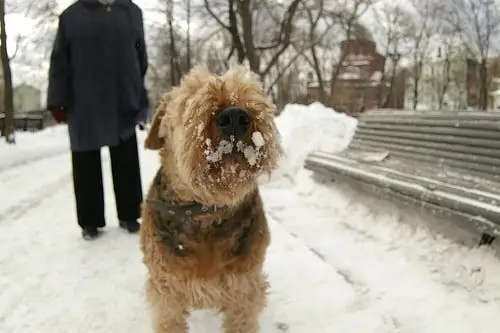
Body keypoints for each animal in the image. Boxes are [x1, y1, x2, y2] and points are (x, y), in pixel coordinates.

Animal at [139, 65, 284, 332]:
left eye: (253, 87)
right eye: (189, 95)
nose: (235, 116)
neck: (205, 212)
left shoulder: (244, 290)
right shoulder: (167, 293)